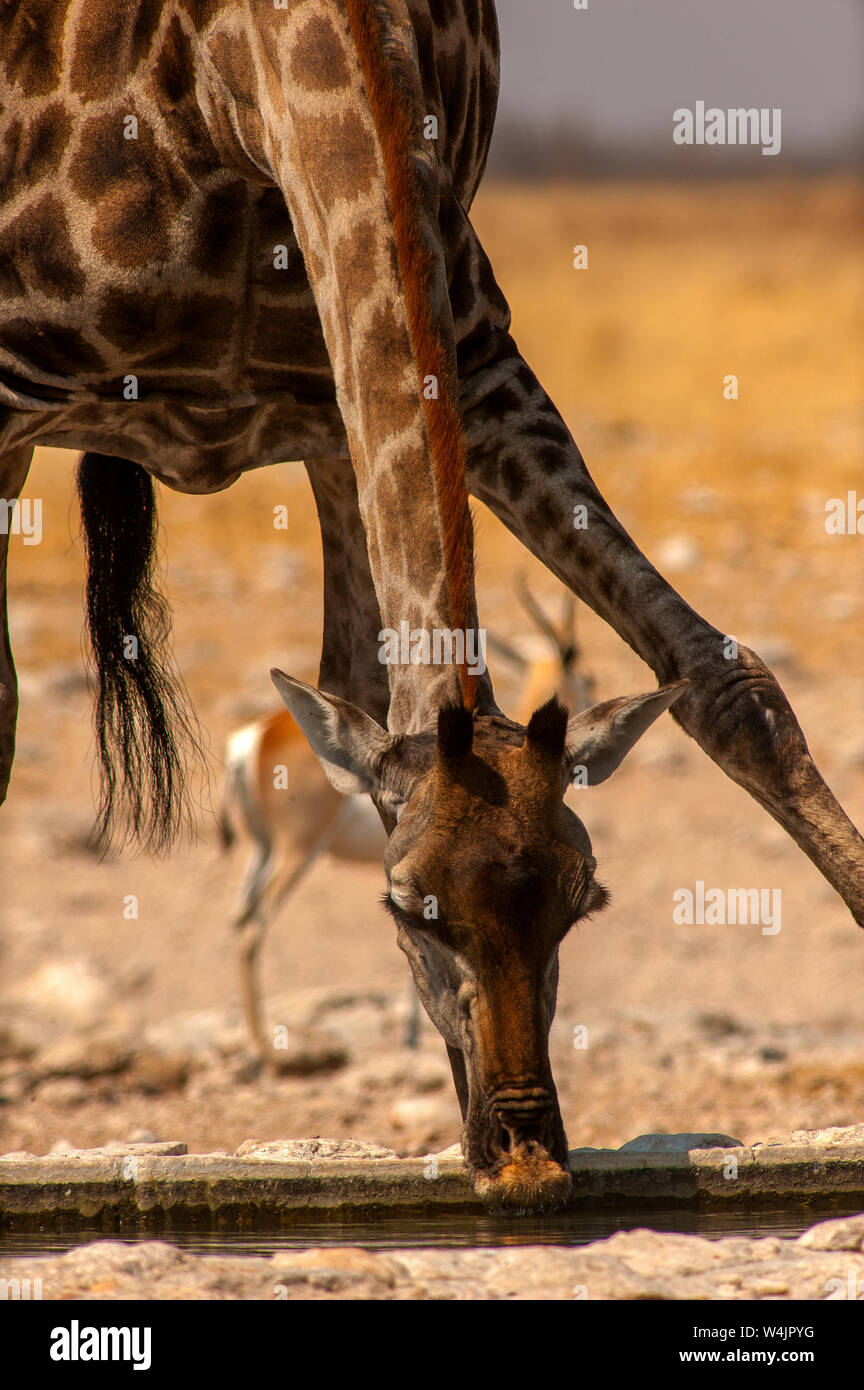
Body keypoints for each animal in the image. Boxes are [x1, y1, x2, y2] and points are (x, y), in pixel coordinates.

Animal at [0, 2, 861, 1206]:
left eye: (583, 898)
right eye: (408, 905)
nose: (527, 1159)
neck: (235, 70)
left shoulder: (466, 361)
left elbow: (723, 680)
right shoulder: (6, 391)